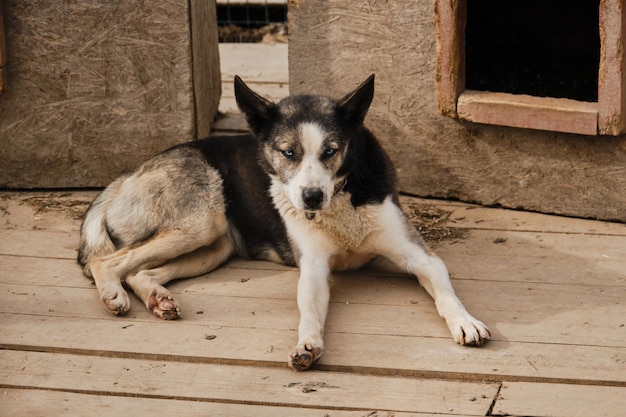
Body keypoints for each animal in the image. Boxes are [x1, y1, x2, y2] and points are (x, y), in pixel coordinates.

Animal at [78, 74, 488, 368]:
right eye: (288, 153)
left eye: (331, 152)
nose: (311, 197)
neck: (340, 202)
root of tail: (126, 177)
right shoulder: (314, 269)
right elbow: (310, 312)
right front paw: (307, 344)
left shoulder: (420, 258)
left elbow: (446, 294)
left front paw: (465, 321)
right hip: (200, 223)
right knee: (107, 261)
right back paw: (113, 295)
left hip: (213, 245)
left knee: (139, 272)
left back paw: (158, 299)